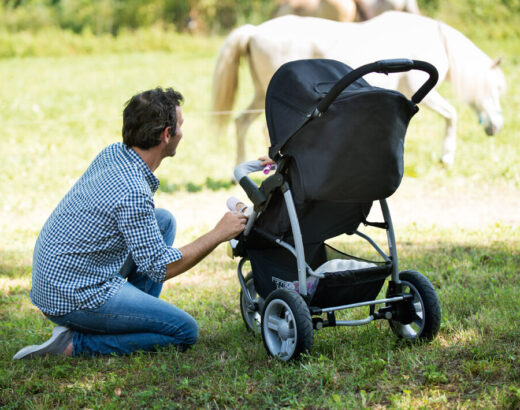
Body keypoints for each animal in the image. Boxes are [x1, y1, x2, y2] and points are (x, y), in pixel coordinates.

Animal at [210, 12, 504, 167]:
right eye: (497, 89)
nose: (497, 127)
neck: (435, 39)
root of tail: (254, 31)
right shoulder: (422, 91)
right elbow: (452, 114)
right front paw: (447, 157)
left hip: (261, 93)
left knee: (241, 124)